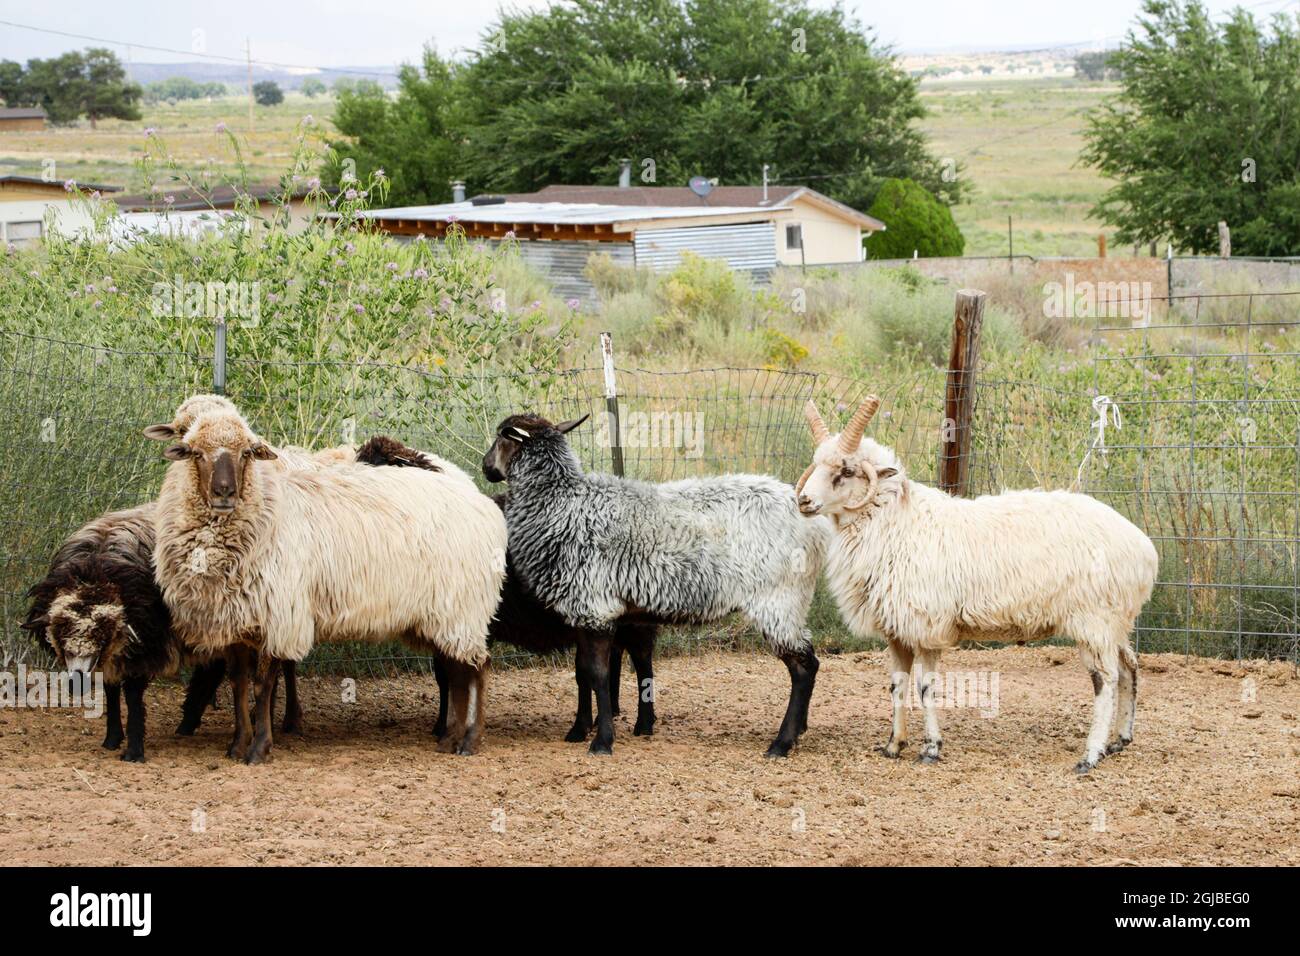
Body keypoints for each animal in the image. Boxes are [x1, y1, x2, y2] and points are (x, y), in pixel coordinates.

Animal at [22, 504, 227, 761]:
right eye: (61, 631)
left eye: (102, 633)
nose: (76, 683)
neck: (95, 568)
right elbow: (110, 692)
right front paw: (112, 739)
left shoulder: (143, 647)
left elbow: (132, 696)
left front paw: (134, 750)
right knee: (213, 671)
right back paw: (187, 724)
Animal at [152, 402, 506, 763]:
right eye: (194, 451)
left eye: (247, 452)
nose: (224, 492)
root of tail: (482, 503)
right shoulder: (236, 618)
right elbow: (239, 684)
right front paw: (238, 744)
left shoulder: (280, 615)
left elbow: (263, 685)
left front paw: (260, 746)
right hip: (443, 614)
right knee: (457, 671)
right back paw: (450, 739)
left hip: (463, 609)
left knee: (478, 669)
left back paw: (470, 740)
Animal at [355, 436, 658, 743]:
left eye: (378, 469)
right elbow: (444, 675)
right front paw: (443, 725)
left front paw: (450, 727)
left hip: (634, 618)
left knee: (642, 661)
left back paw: (642, 723)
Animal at [482, 412, 831, 756]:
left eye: (500, 437)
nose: (486, 467)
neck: (560, 504)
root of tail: (812, 521)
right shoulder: (586, 612)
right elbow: (585, 673)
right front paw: (582, 731)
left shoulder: (595, 608)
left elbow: (599, 676)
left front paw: (602, 742)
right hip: (790, 602)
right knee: (809, 662)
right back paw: (799, 730)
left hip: (779, 598)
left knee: (803, 668)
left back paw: (781, 743)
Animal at [795, 397, 1159, 773]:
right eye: (816, 465)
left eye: (847, 471)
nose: (803, 501)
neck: (896, 523)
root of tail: (1144, 548)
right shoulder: (897, 629)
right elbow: (897, 686)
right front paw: (894, 745)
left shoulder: (927, 625)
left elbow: (926, 688)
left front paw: (931, 748)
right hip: (1115, 621)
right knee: (1129, 667)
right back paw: (1120, 740)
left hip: (1094, 620)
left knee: (1106, 680)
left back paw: (1091, 755)